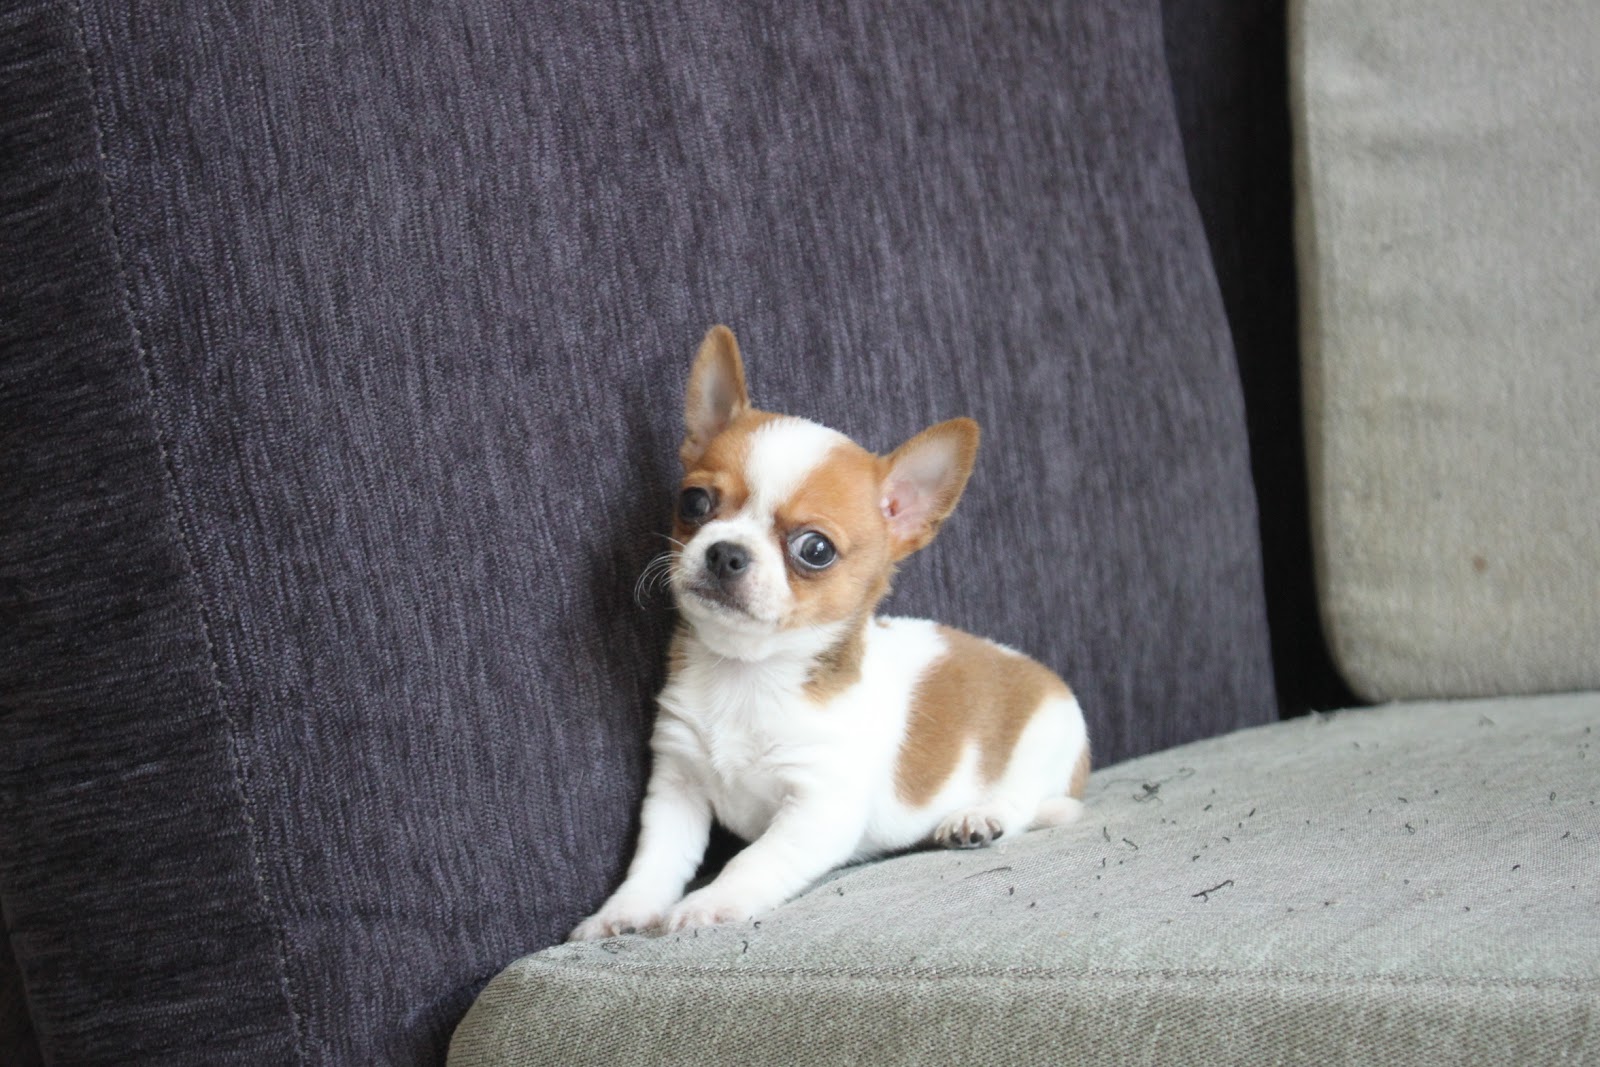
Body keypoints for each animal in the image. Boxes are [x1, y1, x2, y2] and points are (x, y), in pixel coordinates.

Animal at [570, 325, 1089, 939]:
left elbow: (754, 860)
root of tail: (1042, 676)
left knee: (1027, 801)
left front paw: (708, 904)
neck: (747, 674)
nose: (725, 552)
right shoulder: (677, 789)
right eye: (693, 502)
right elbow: (657, 860)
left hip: (1043, 739)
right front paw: (622, 912)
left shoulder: (817, 809)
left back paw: (977, 817)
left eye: (815, 550)